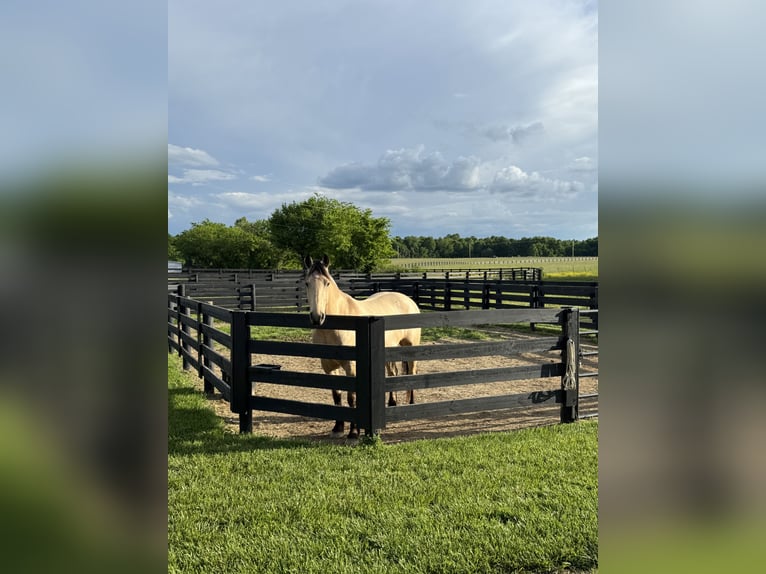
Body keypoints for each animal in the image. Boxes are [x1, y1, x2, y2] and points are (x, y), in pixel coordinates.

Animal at [303, 255, 421, 438]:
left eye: (326, 283)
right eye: (307, 283)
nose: (317, 317)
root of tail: (407, 300)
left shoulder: (351, 367)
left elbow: (351, 398)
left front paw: (353, 432)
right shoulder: (328, 366)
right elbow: (336, 396)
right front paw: (338, 427)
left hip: (411, 348)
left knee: (412, 373)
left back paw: (411, 404)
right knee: (392, 373)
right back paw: (392, 403)